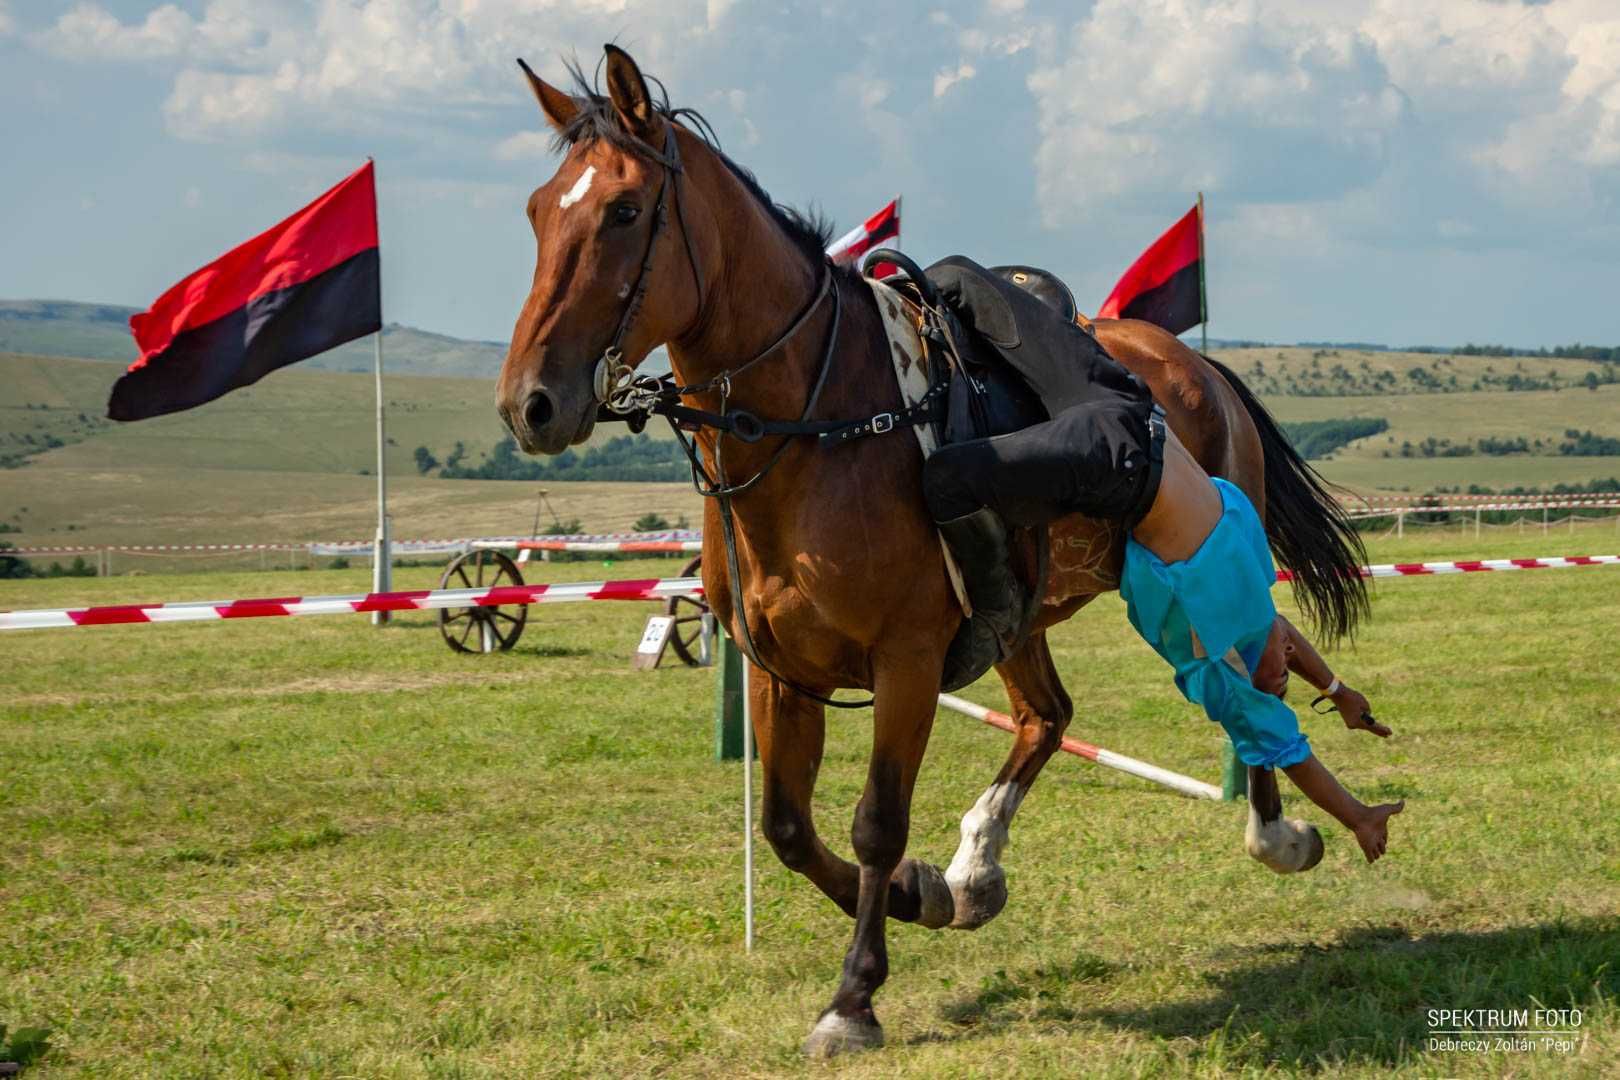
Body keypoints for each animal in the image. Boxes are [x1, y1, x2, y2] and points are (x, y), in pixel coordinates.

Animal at [492, 46, 1367, 1062]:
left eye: (626, 211)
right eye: (538, 212)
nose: (531, 404)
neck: (816, 423)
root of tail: (1193, 367)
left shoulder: (905, 662)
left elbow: (874, 823)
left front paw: (853, 997)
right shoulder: (781, 672)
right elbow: (787, 827)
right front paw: (930, 894)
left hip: (1197, 565)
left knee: (1252, 675)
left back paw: (1278, 835)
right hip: (1021, 611)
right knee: (1049, 716)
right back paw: (978, 864)